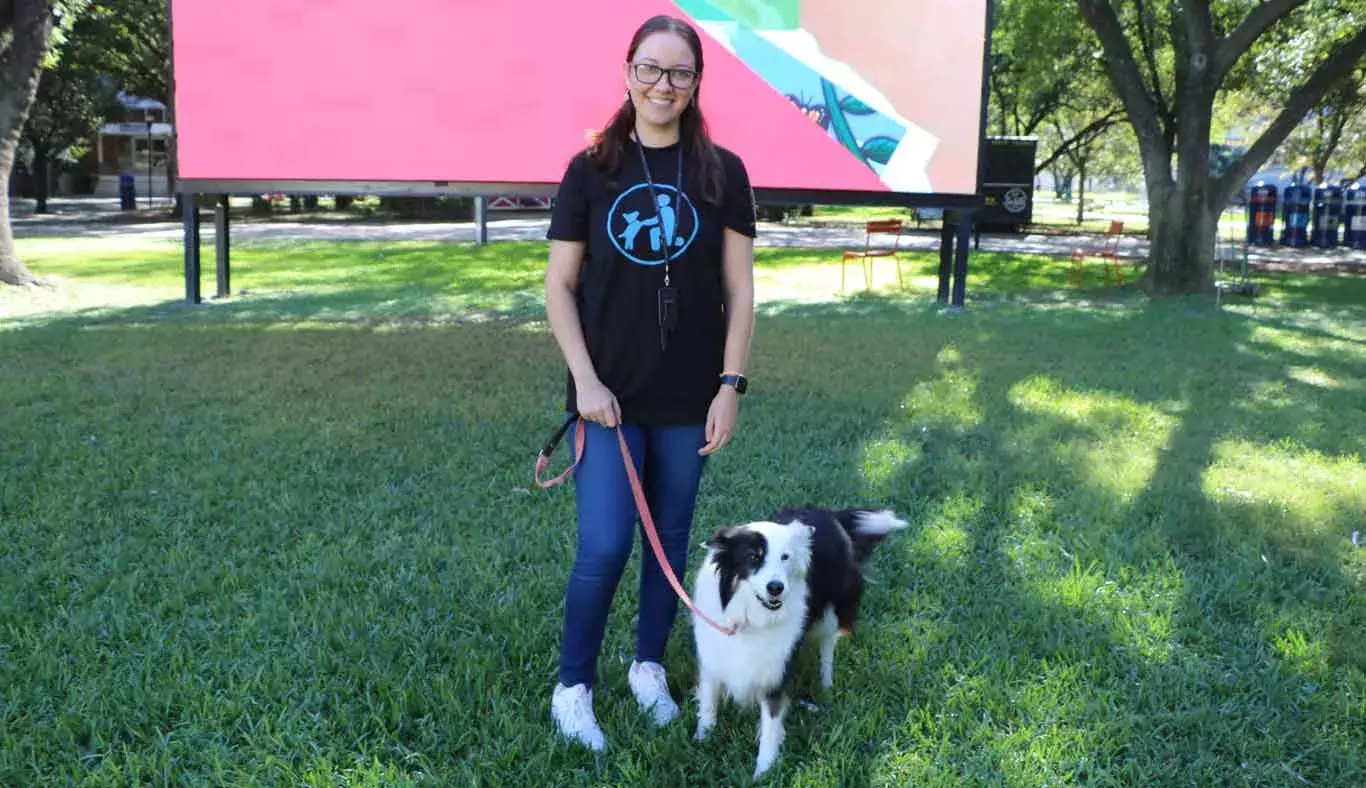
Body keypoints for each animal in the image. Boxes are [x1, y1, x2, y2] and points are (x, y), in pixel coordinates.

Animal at [693, 508, 907, 775]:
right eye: (753, 557)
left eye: (785, 557)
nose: (776, 588)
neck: (750, 617)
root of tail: (830, 514)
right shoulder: (712, 658)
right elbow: (708, 702)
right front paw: (703, 739)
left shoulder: (775, 672)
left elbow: (771, 726)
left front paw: (763, 771)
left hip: (830, 614)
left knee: (828, 646)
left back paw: (826, 684)